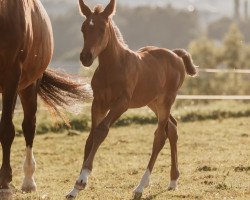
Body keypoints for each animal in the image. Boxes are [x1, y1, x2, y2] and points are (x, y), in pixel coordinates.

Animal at [66, 0, 197, 199]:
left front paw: (82, 180)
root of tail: (175, 54)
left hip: (166, 100)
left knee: (160, 136)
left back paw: (141, 186)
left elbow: (101, 131)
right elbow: (90, 137)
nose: (85, 57)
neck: (112, 67)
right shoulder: (98, 103)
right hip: (153, 102)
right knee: (172, 128)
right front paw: (74, 189)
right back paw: (173, 180)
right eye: (83, 29)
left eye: (102, 29)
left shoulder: (122, 103)